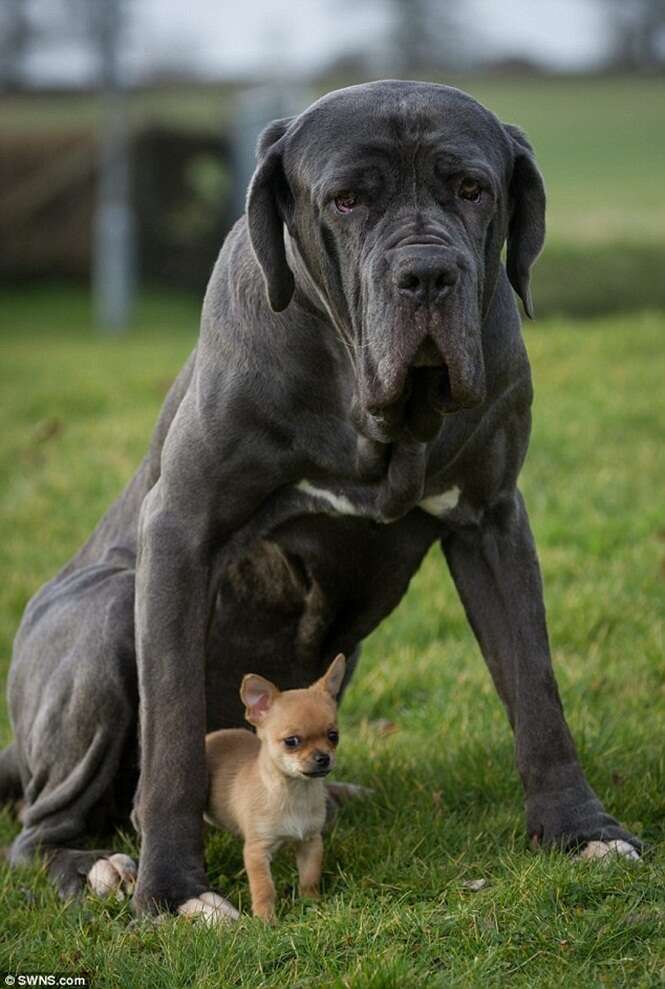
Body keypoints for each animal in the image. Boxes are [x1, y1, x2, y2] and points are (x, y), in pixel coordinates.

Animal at [2, 81, 640, 916]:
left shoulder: (493, 518)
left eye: (472, 188)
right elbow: (171, 732)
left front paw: (579, 829)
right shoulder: (181, 527)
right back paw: (99, 864)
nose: (426, 274)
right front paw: (174, 890)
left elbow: (534, 685)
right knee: (36, 828)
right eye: (345, 199)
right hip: (107, 617)